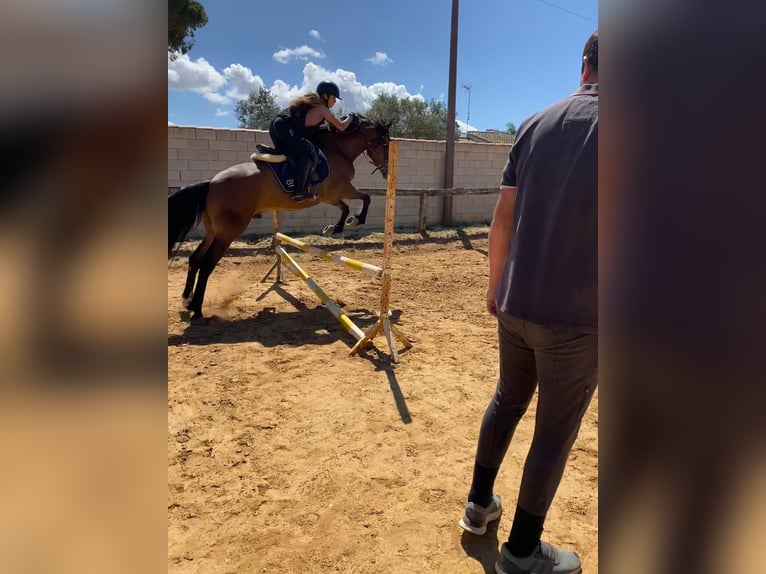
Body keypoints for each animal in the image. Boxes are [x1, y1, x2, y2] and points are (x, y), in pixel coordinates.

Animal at [170, 116, 392, 324]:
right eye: (384, 143)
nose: (386, 171)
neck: (337, 151)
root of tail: (211, 182)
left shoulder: (330, 196)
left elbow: (346, 207)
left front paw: (334, 227)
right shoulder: (339, 190)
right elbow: (365, 198)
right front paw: (355, 220)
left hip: (212, 231)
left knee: (195, 258)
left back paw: (186, 301)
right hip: (228, 233)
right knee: (207, 264)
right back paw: (197, 310)